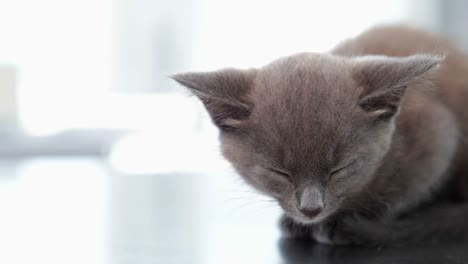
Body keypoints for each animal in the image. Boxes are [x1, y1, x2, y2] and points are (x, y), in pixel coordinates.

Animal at [174, 25, 468, 246]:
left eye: (340, 169)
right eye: (279, 172)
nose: (311, 209)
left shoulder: (437, 134)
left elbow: (405, 194)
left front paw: (343, 222)